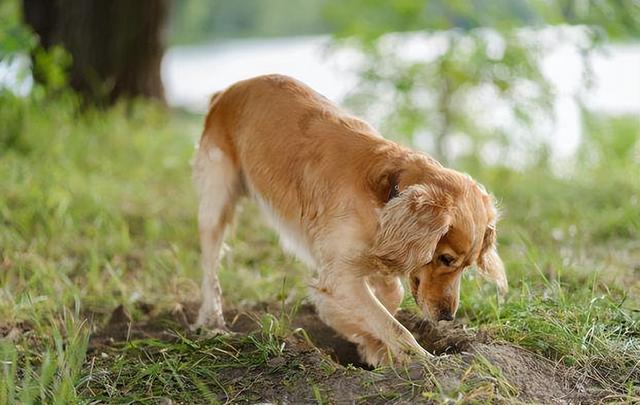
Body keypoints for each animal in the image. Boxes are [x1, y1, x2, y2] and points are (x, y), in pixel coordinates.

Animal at [192, 73, 508, 366]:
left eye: (466, 266)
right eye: (445, 259)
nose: (447, 317)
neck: (386, 196)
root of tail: (229, 90)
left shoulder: (376, 255)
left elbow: (391, 297)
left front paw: (370, 344)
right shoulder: (340, 276)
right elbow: (393, 325)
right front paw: (421, 360)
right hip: (215, 203)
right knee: (209, 270)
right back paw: (212, 321)